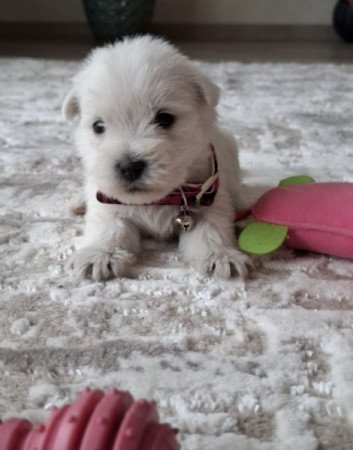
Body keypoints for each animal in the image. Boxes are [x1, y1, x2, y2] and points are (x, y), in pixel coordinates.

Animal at [63, 35, 250, 280]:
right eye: (98, 126)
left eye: (165, 118)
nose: (129, 167)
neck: (159, 198)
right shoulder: (109, 204)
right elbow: (109, 228)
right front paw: (99, 255)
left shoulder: (210, 201)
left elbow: (212, 230)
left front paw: (221, 256)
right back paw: (77, 202)